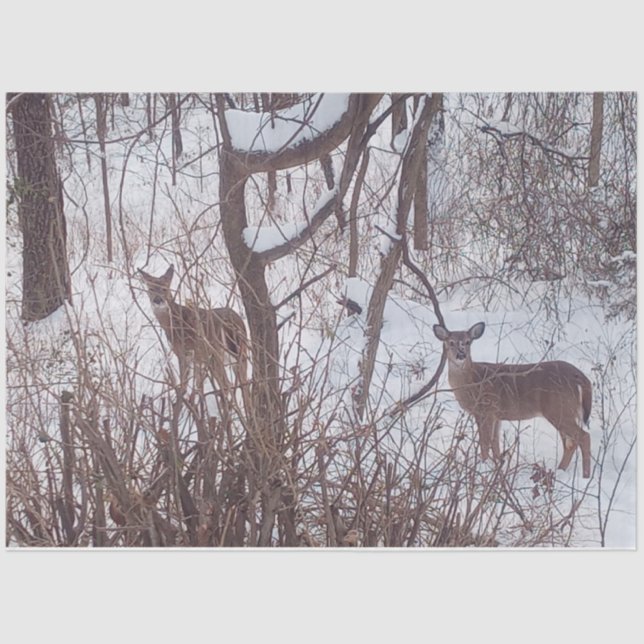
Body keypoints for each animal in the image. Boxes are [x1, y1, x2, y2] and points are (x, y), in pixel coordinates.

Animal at [137, 265, 249, 411]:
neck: (172, 324)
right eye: (150, 289)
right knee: (244, 385)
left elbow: (184, 384)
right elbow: (197, 383)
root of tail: (232, 324)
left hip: (215, 354)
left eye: (165, 288)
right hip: (242, 352)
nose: (158, 300)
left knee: (227, 384)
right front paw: (195, 404)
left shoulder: (183, 352)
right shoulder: (198, 358)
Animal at [433, 322, 592, 478]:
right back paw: (559, 471)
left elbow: (484, 443)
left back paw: (585, 476)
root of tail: (581, 377)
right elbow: (495, 444)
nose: (461, 354)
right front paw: (498, 469)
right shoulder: (496, 415)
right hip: (564, 410)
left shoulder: (485, 410)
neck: (472, 382)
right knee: (571, 443)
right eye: (451, 342)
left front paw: (482, 467)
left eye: (467, 342)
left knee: (583, 437)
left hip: (558, 408)